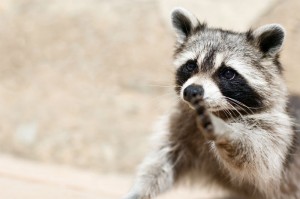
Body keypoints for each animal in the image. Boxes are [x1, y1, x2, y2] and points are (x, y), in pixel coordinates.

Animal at [122, 7, 300, 198]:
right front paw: (138, 191)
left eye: (227, 73)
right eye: (191, 65)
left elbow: (257, 154)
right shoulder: (181, 124)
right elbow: (162, 160)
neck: (219, 110)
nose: (192, 91)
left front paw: (228, 132)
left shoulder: (278, 130)